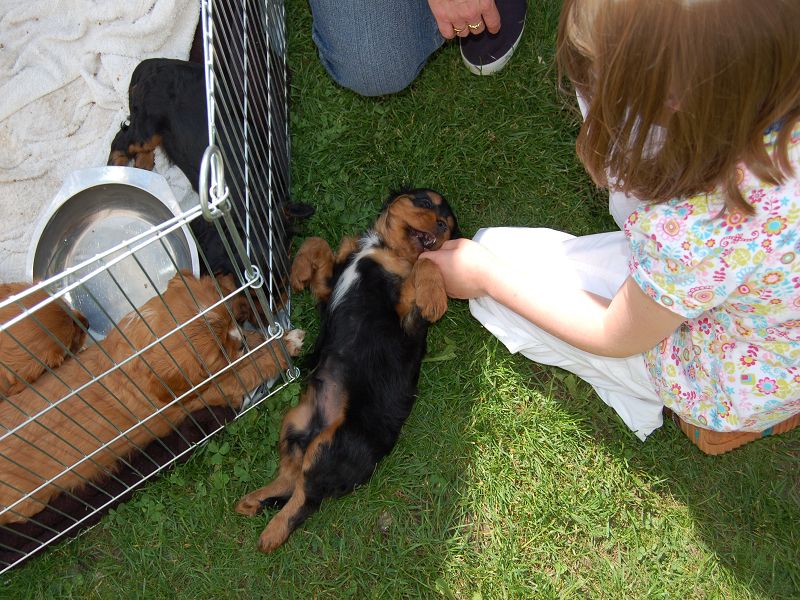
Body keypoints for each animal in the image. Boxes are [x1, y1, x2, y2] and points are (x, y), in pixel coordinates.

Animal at [0, 273, 304, 525]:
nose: (239, 340)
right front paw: (285, 343)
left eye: (230, 320)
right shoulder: (212, 388)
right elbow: (248, 366)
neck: (133, 357)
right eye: (218, 352)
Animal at [235, 188, 459, 552]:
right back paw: (253, 501)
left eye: (450, 225)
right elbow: (317, 241)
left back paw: (272, 533)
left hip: (331, 446)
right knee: (290, 479)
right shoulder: (329, 286)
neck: (383, 248)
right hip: (294, 423)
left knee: (306, 497)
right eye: (425, 202)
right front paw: (299, 272)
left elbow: (425, 262)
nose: (441, 226)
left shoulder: (405, 317)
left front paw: (435, 299)